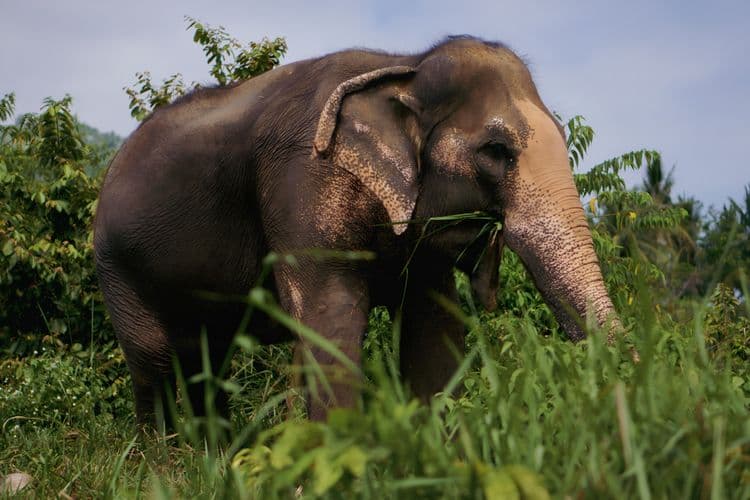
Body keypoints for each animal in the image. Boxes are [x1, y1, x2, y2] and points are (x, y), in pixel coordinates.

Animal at [94, 35, 619, 427]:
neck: (404, 67)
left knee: (209, 366)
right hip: (116, 270)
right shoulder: (305, 179)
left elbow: (432, 329)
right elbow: (332, 316)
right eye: (496, 150)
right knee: (154, 363)